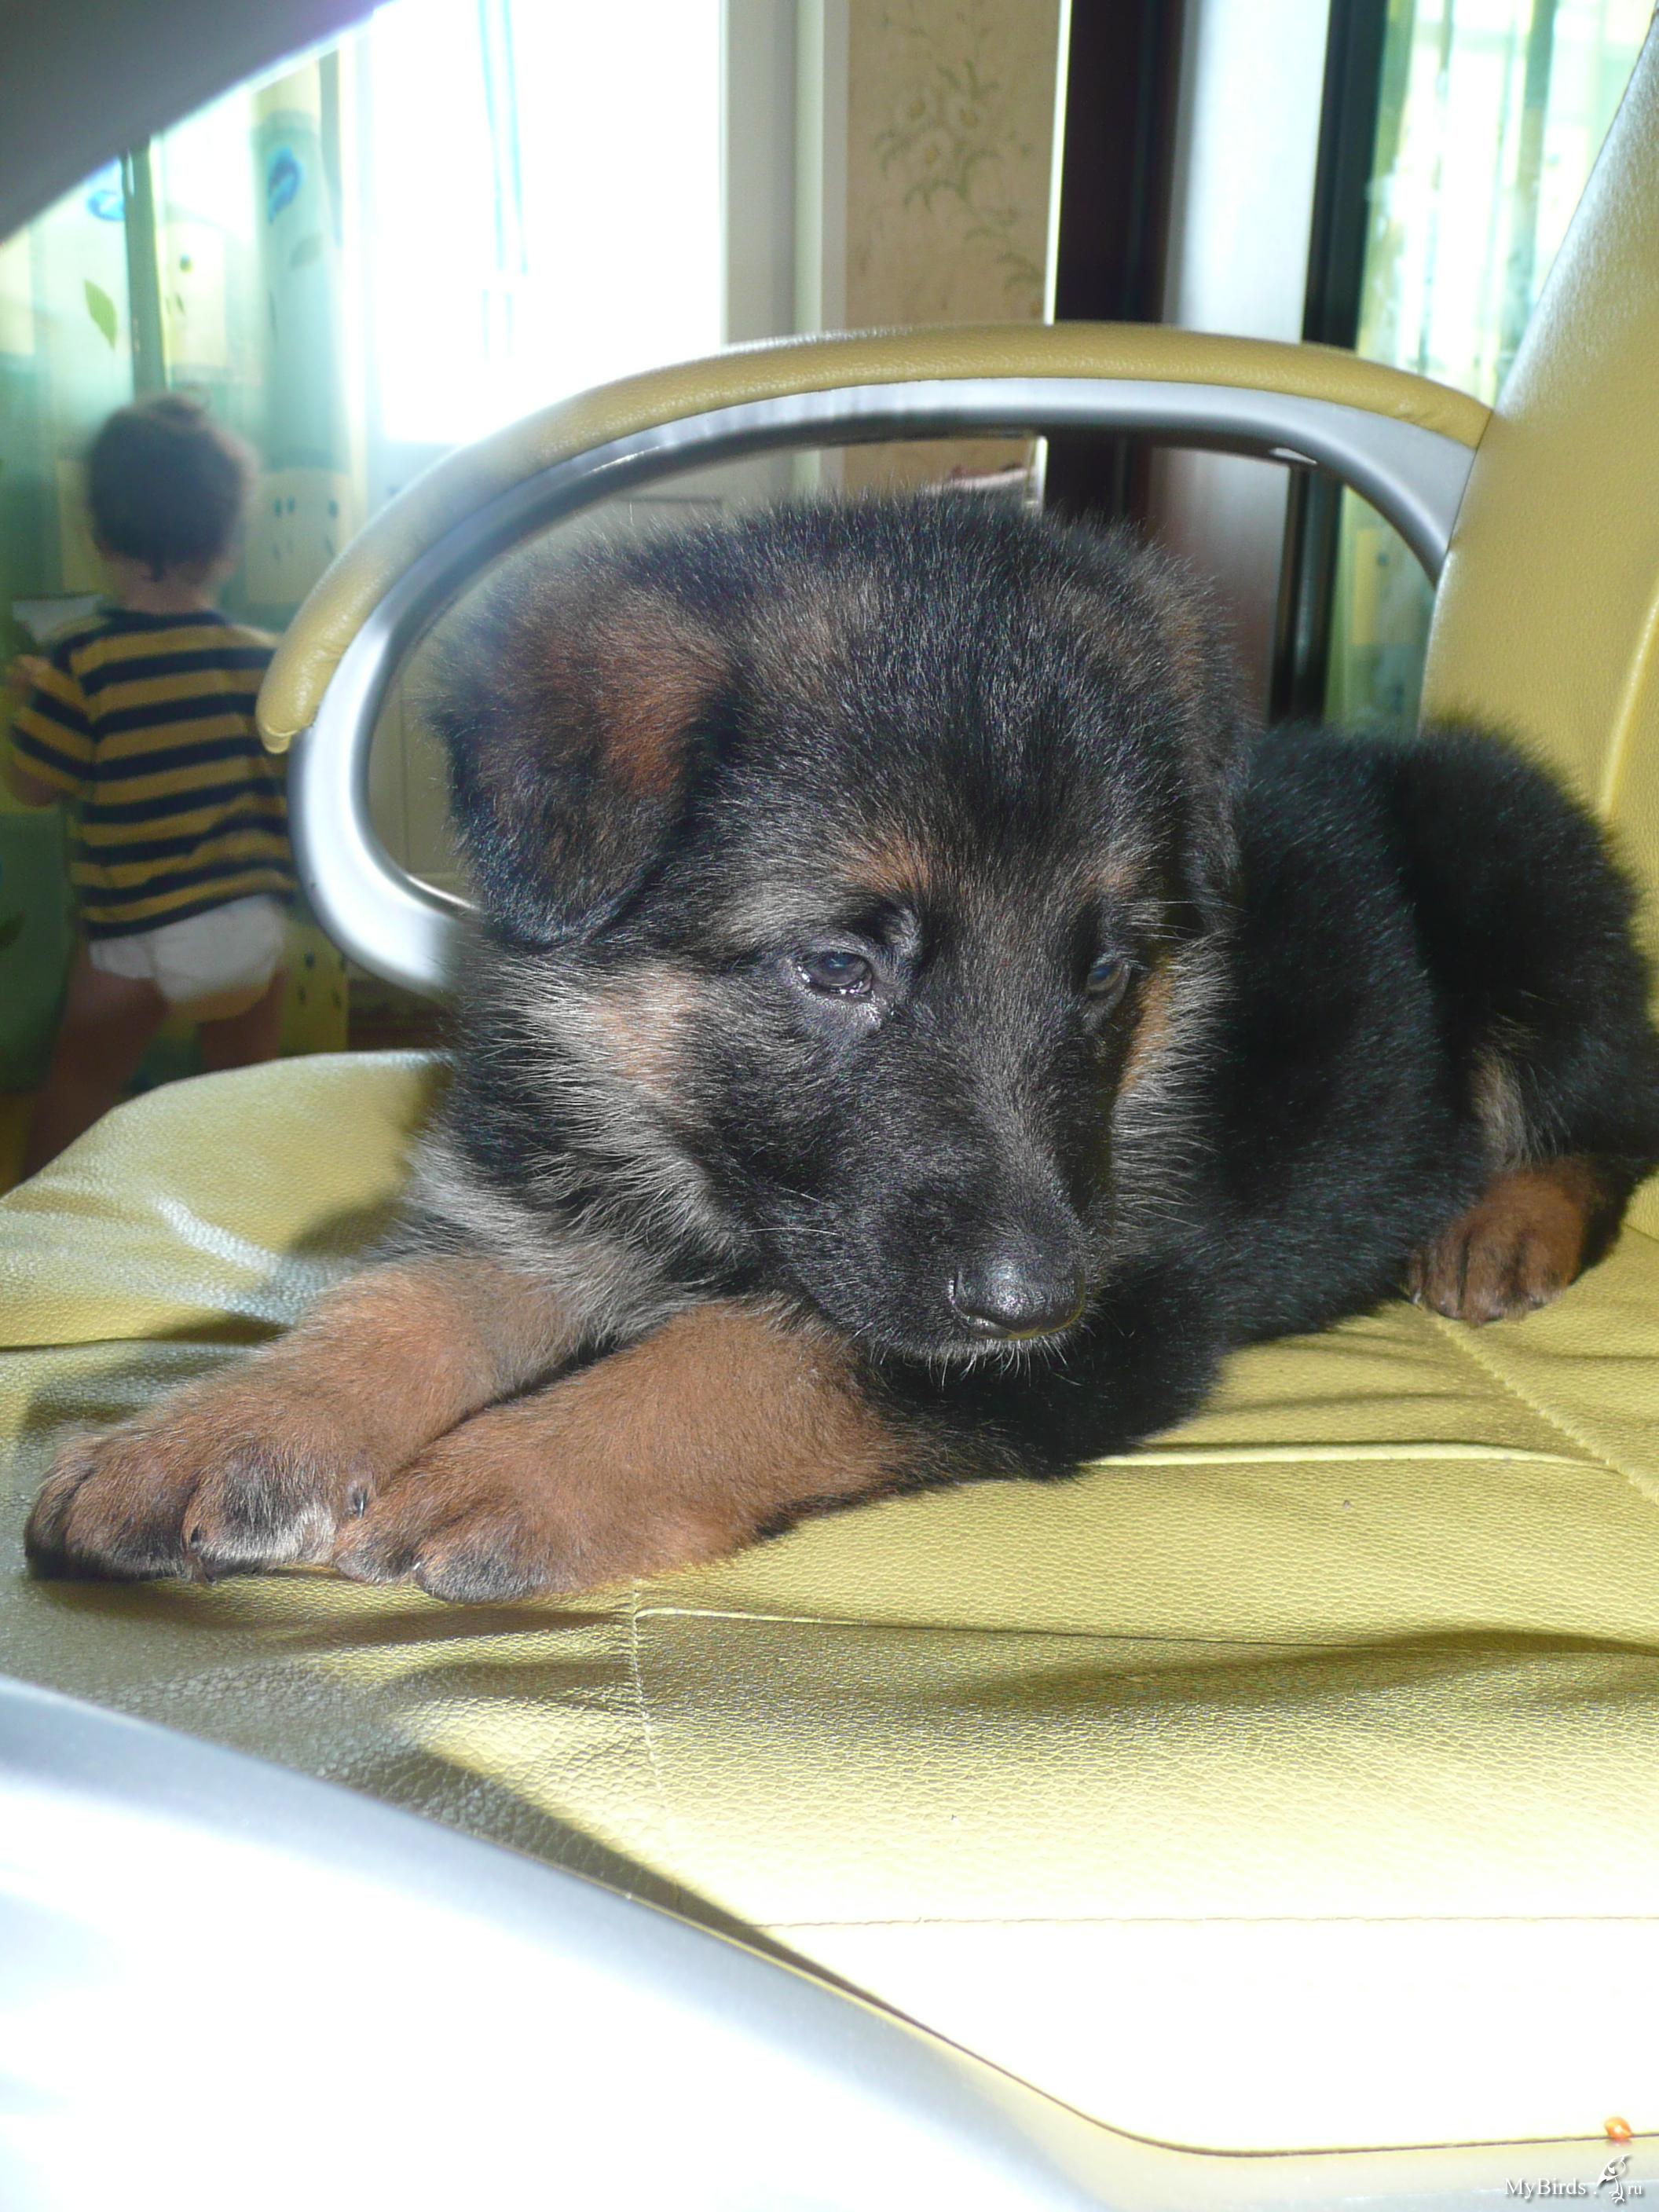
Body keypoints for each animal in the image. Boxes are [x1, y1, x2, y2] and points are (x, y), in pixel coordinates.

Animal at [25, 497, 1659, 1601]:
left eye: (1106, 971)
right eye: (836, 967)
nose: (1030, 1298)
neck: (703, 1171)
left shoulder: (1122, 1312)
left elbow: (756, 1356)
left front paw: (522, 1468)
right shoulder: (539, 1206)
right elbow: (395, 1302)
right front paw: (210, 1433)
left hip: (1516, 874)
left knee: (1612, 1108)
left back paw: (1505, 1224)